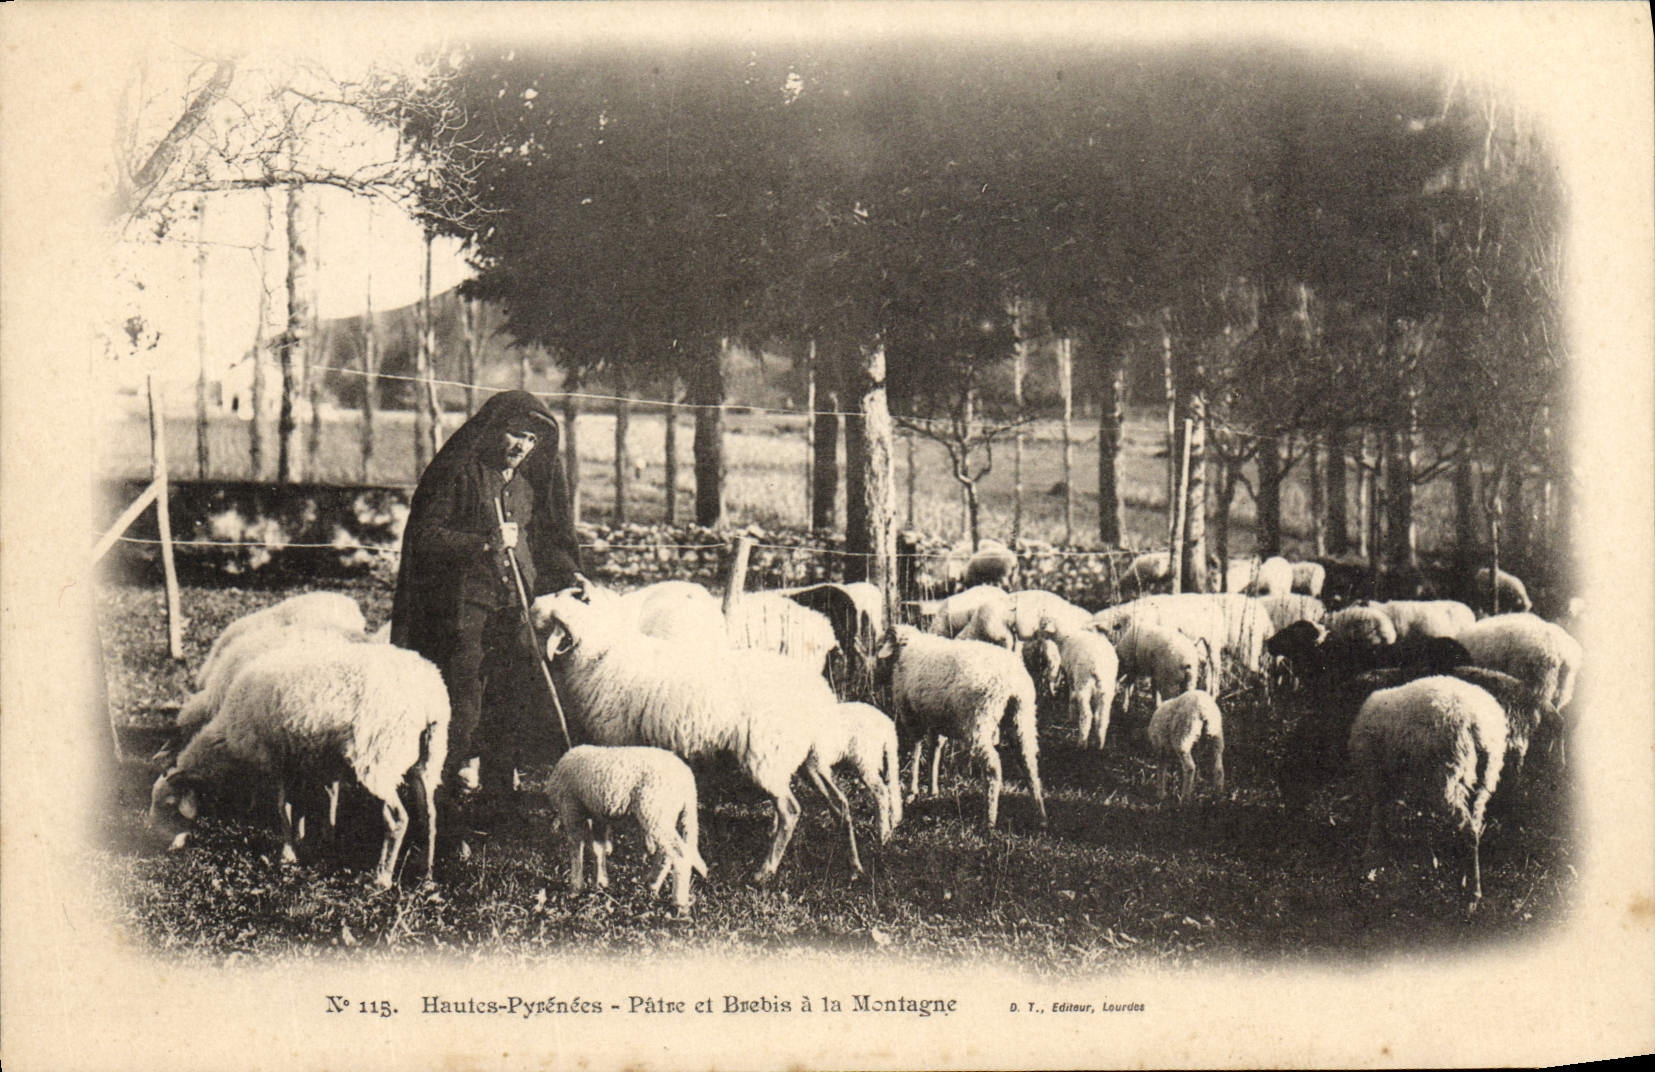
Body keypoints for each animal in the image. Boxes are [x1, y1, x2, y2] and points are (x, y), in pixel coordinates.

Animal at [149, 642, 449, 887]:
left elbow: (283, 808)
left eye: (169, 804)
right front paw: (309, 841)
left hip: (378, 756)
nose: (159, 845)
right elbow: (303, 805)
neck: (227, 740)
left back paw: (382, 877)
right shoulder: (300, 760)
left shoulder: (275, 759)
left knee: (399, 818)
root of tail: (430, 699)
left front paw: (288, 854)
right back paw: (426, 873)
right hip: (429, 758)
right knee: (430, 815)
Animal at [531, 588, 854, 881]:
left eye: (568, 596)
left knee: (791, 810)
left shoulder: (618, 742)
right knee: (840, 802)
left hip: (767, 754)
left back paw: (765, 871)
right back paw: (853, 865)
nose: (533, 606)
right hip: (806, 758)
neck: (604, 650)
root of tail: (819, 693)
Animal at [545, 745, 709, 913]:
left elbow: (576, 848)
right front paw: (600, 883)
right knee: (666, 853)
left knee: (679, 854)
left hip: (655, 809)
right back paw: (652, 884)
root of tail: (688, 779)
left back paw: (678, 901)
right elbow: (598, 848)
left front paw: (575, 888)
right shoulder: (598, 815)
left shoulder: (571, 807)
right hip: (667, 814)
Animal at [874, 626, 1047, 830]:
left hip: (979, 720)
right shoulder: (936, 719)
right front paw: (932, 790)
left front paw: (912, 791)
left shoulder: (911, 715)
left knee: (993, 767)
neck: (907, 649)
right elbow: (934, 750)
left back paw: (989, 819)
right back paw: (1041, 815)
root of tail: (1011, 682)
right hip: (1021, 718)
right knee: (1029, 763)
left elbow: (916, 750)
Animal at [1347, 675, 1508, 907]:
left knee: (1467, 830)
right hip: (1484, 778)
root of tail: (1475, 721)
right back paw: (1467, 880)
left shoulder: (1376, 773)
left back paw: (1472, 895)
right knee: (1474, 827)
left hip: (1448, 778)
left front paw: (1370, 861)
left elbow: (1377, 816)